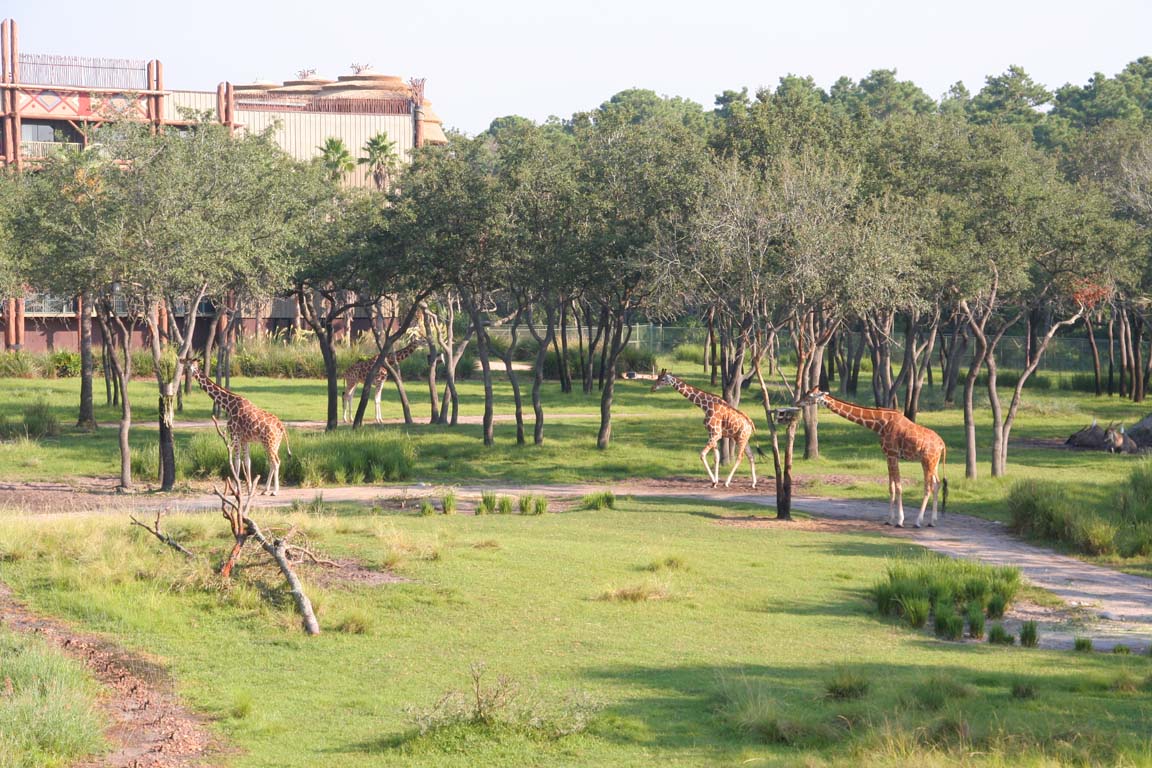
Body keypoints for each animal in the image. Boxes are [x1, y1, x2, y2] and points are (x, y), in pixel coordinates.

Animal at [184, 356, 292, 495]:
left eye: (188, 364)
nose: (184, 371)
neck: (228, 406)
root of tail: (281, 426)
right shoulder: (244, 439)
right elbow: (247, 461)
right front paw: (250, 487)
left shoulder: (234, 435)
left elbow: (236, 461)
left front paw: (235, 489)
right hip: (274, 443)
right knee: (272, 462)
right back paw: (265, 490)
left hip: (269, 442)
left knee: (276, 462)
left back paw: (275, 491)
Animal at [797, 391, 949, 529]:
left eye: (809, 395)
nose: (798, 403)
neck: (880, 424)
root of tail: (942, 444)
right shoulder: (888, 456)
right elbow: (891, 487)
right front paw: (889, 520)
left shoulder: (892, 454)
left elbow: (899, 486)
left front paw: (900, 521)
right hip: (932, 462)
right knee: (937, 484)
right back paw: (932, 521)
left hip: (928, 460)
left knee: (928, 487)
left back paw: (918, 522)